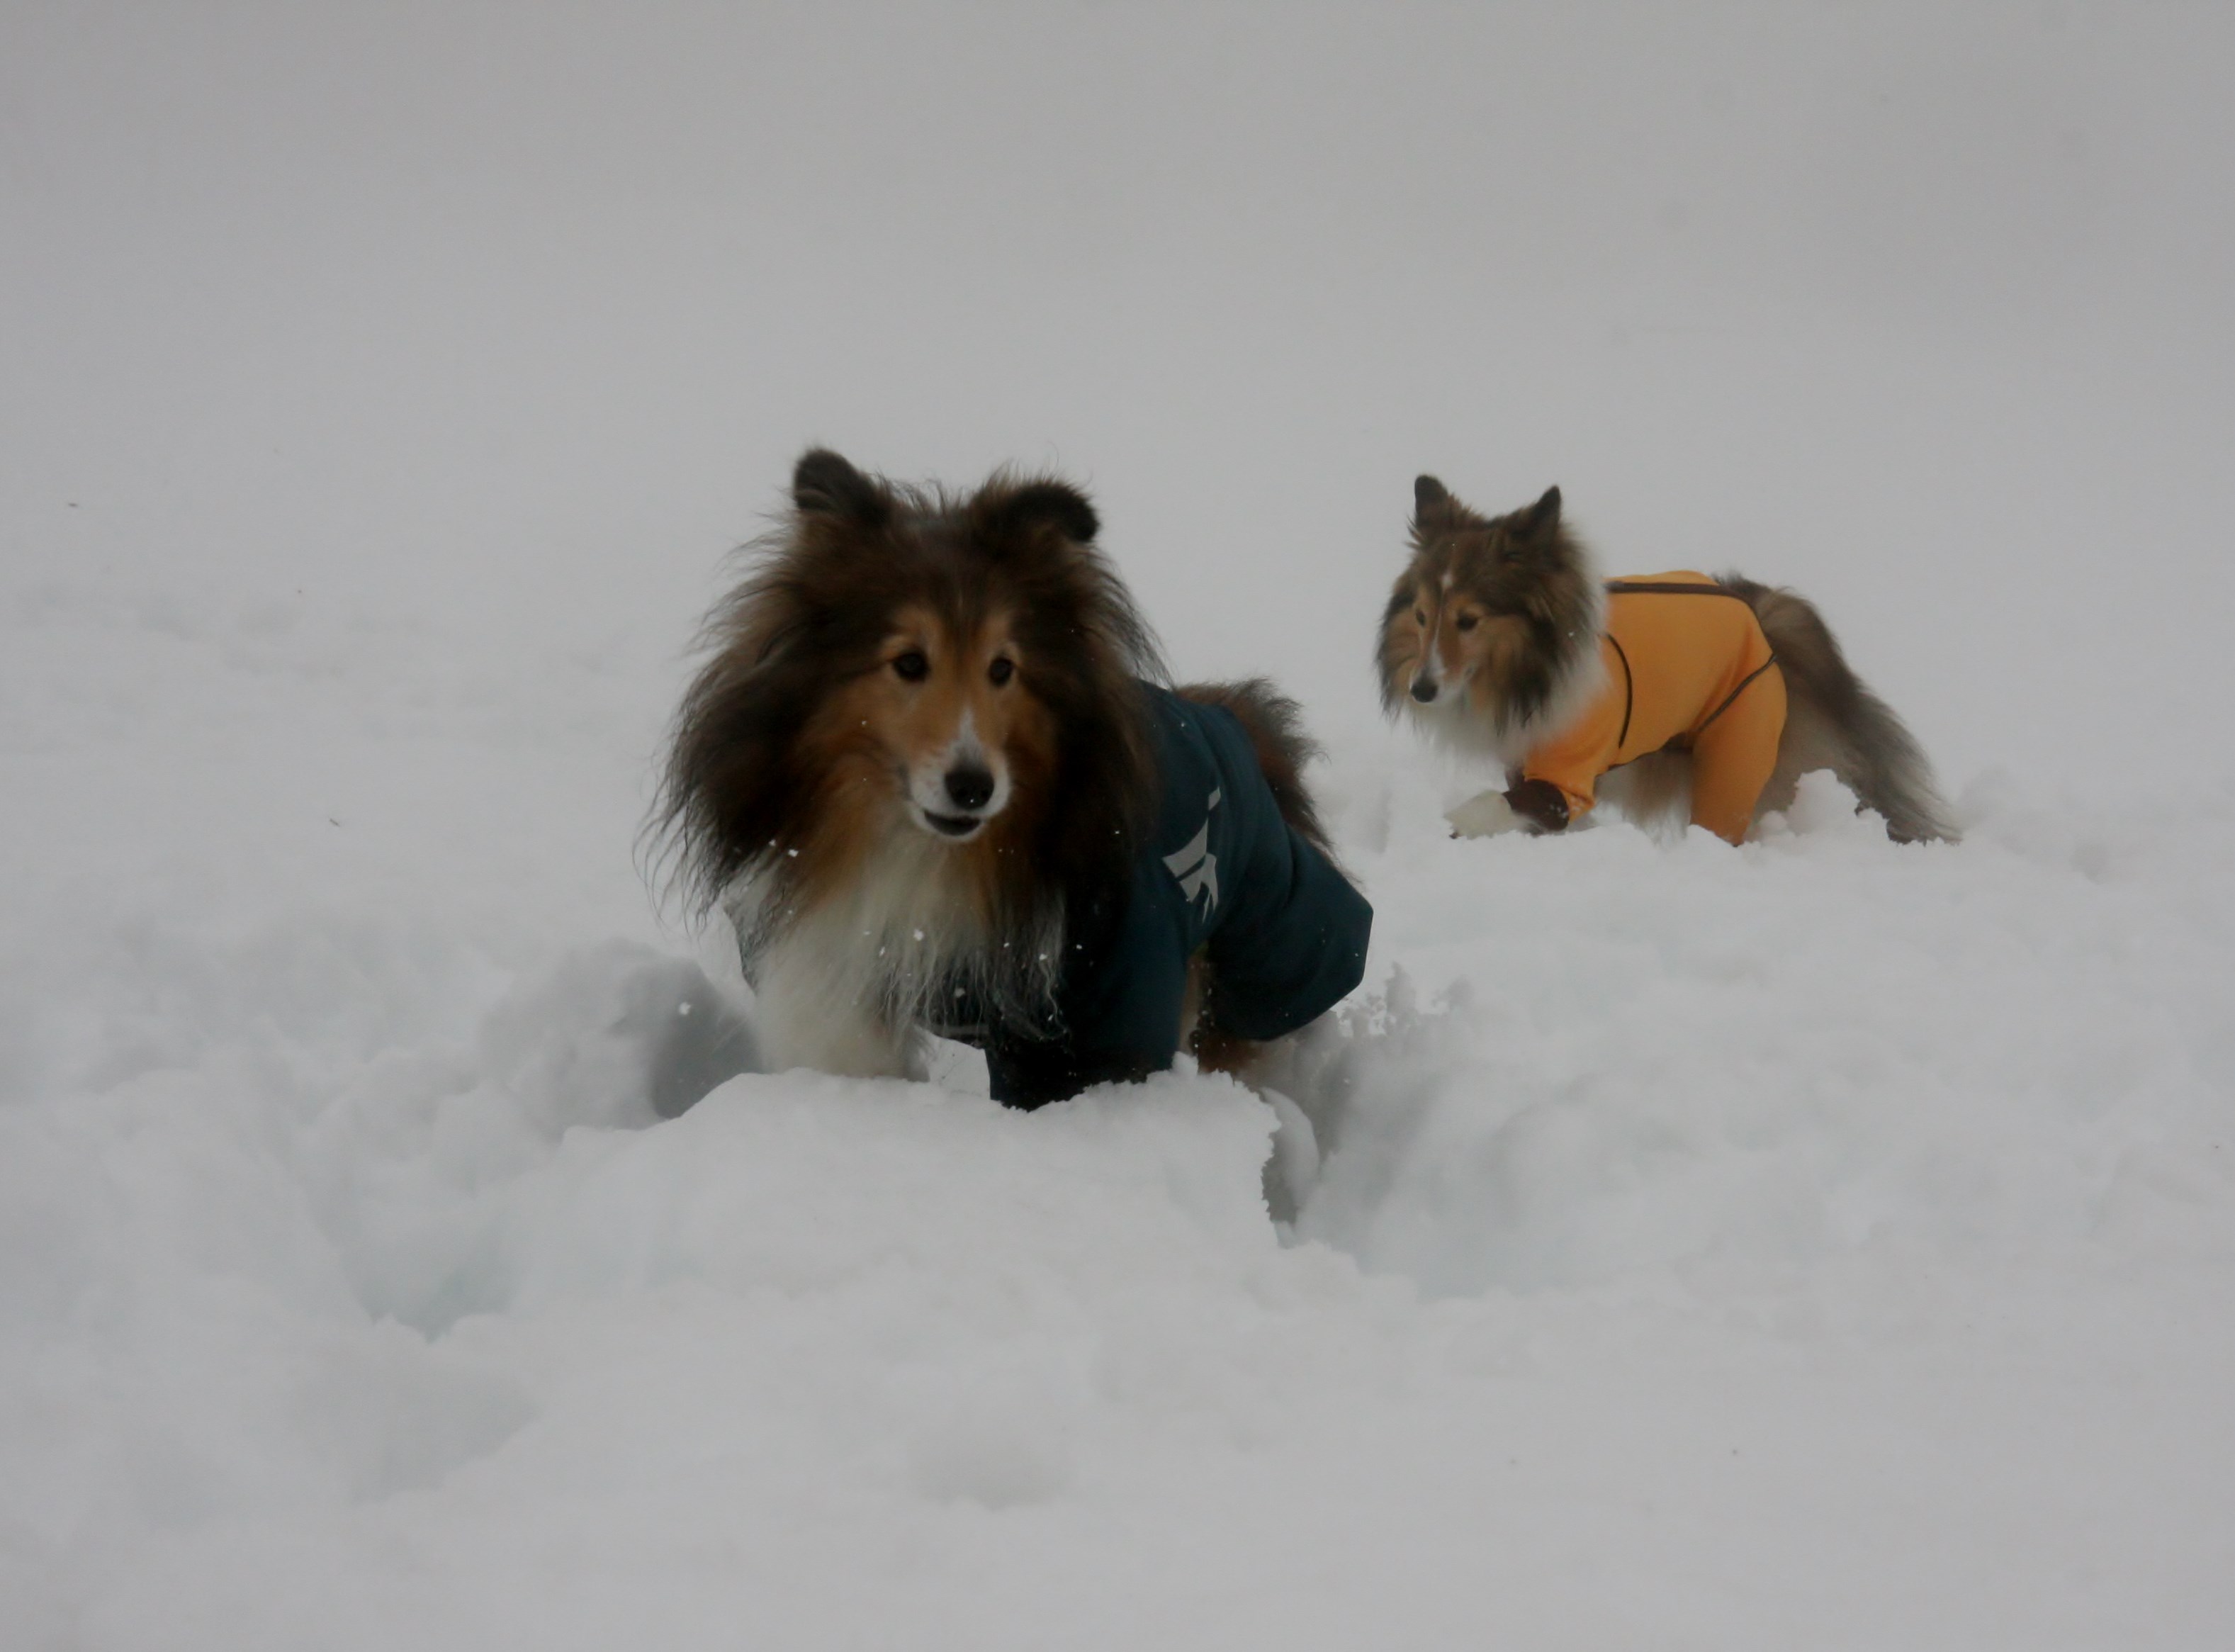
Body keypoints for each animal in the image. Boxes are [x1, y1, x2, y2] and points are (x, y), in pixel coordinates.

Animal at [652, 451, 1368, 1113]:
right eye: (909, 662)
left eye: (1003, 668)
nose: (973, 787)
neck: (928, 856)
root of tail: (1236, 723)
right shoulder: (840, 978)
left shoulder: (1104, 1002)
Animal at [1376, 471, 1957, 845]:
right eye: (1423, 615)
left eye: (1469, 620)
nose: (1421, 690)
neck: (1536, 664)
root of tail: (1770, 620)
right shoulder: (1529, 761)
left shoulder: (1565, 777)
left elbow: (1489, 804)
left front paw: (1446, 827)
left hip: (1738, 756)